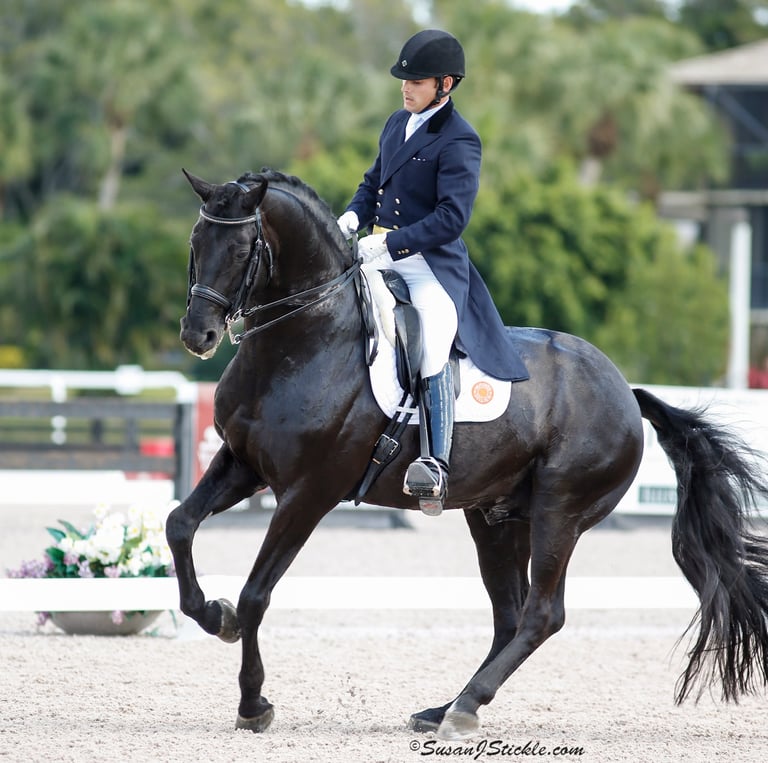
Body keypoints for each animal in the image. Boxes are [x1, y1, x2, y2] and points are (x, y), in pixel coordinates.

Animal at [167, 168, 768, 740]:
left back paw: (463, 708)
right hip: (495, 516)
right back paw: (444, 708)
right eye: (195, 241)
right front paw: (214, 616)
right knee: (510, 615)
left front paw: (253, 703)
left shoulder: (308, 493)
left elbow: (256, 594)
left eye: (241, 251)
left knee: (541, 614)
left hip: (559, 512)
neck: (304, 343)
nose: (198, 335)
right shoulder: (242, 464)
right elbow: (180, 524)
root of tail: (625, 389)